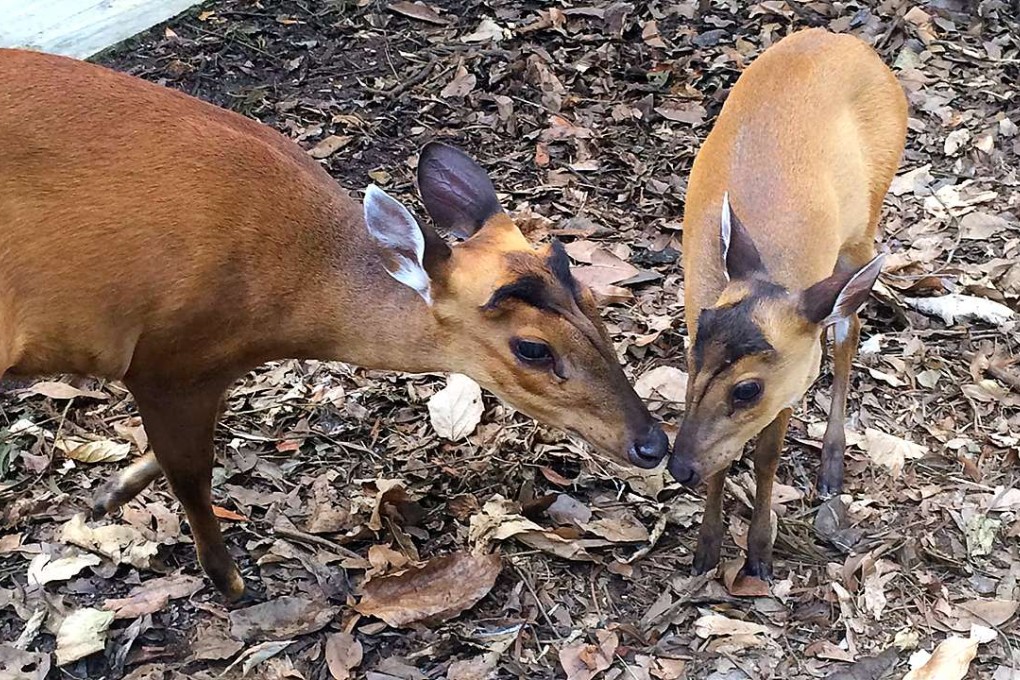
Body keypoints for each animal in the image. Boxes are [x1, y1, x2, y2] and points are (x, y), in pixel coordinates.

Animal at [0, 48, 668, 601]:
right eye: (532, 348)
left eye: (594, 302)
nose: (653, 444)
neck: (288, 290)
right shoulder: (169, 360)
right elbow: (191, 472)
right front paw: (230, 581)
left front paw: (105, 495)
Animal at [667, 29, 908, 580]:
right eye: (691, 356)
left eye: (748, 389)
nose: (677, 466)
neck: (778, 275)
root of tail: (848, 41)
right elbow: (726, 455)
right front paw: (705, 550)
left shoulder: (791, 378)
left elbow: (767, 457)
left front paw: (758, 555)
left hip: (865, 221)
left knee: (848, 327)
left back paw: (832, 466)